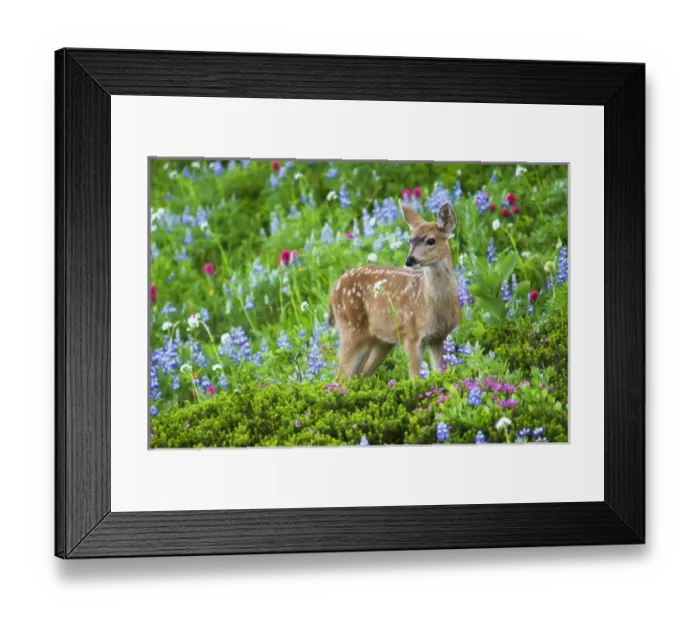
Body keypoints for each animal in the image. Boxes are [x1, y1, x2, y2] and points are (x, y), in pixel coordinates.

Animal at [328, 201, 461, 380]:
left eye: (431, 240)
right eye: (410, 240)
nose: (410, 260)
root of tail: (332, 291)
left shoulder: (439, 337)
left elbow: (440, 373)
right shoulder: (411, 336)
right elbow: (415, 379)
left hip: (380, 341)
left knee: (359, 375)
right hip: (352, 329)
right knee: (339, 379)